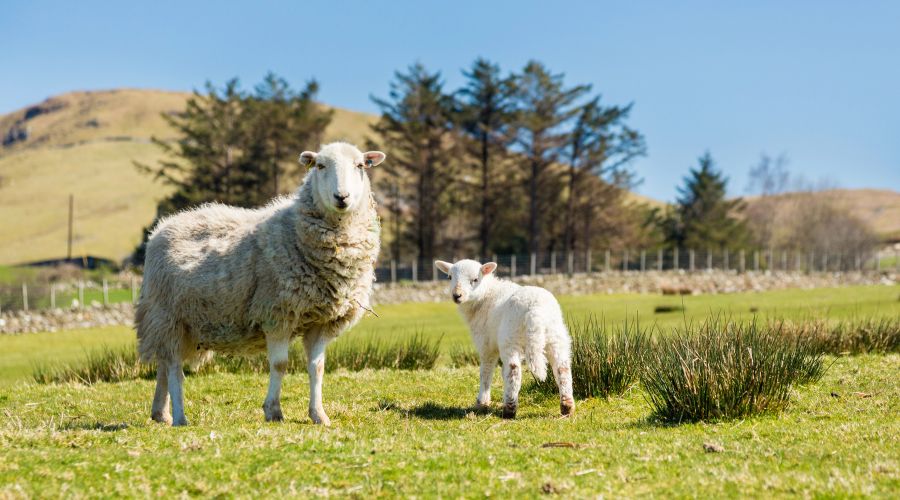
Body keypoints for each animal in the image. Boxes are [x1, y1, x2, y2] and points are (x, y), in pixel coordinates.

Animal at [136, 142, 386, 426]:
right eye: (321, 166)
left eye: (360, 165)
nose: (341, 197)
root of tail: (162, 227)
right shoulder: (277, 314)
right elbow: (280, 365)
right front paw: (273, 410)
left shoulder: (321, 321)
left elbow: (318, 367)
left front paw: (319, 414)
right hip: (169, 317)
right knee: (175, 369)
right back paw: (179, 416)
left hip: (180, 325)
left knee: (164, 365)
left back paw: (160, 413)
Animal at [434, 259, 574, 418]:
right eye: (449, 277)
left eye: (475, 280)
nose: (457, 295)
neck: (486, 295)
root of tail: (535, 309)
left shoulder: (486, 344)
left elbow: (486, 372)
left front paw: (482, 403)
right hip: (556, 336)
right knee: (562, 368)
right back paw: (567, 407)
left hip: (510, 337)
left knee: (514, 370)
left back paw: (509, 409)